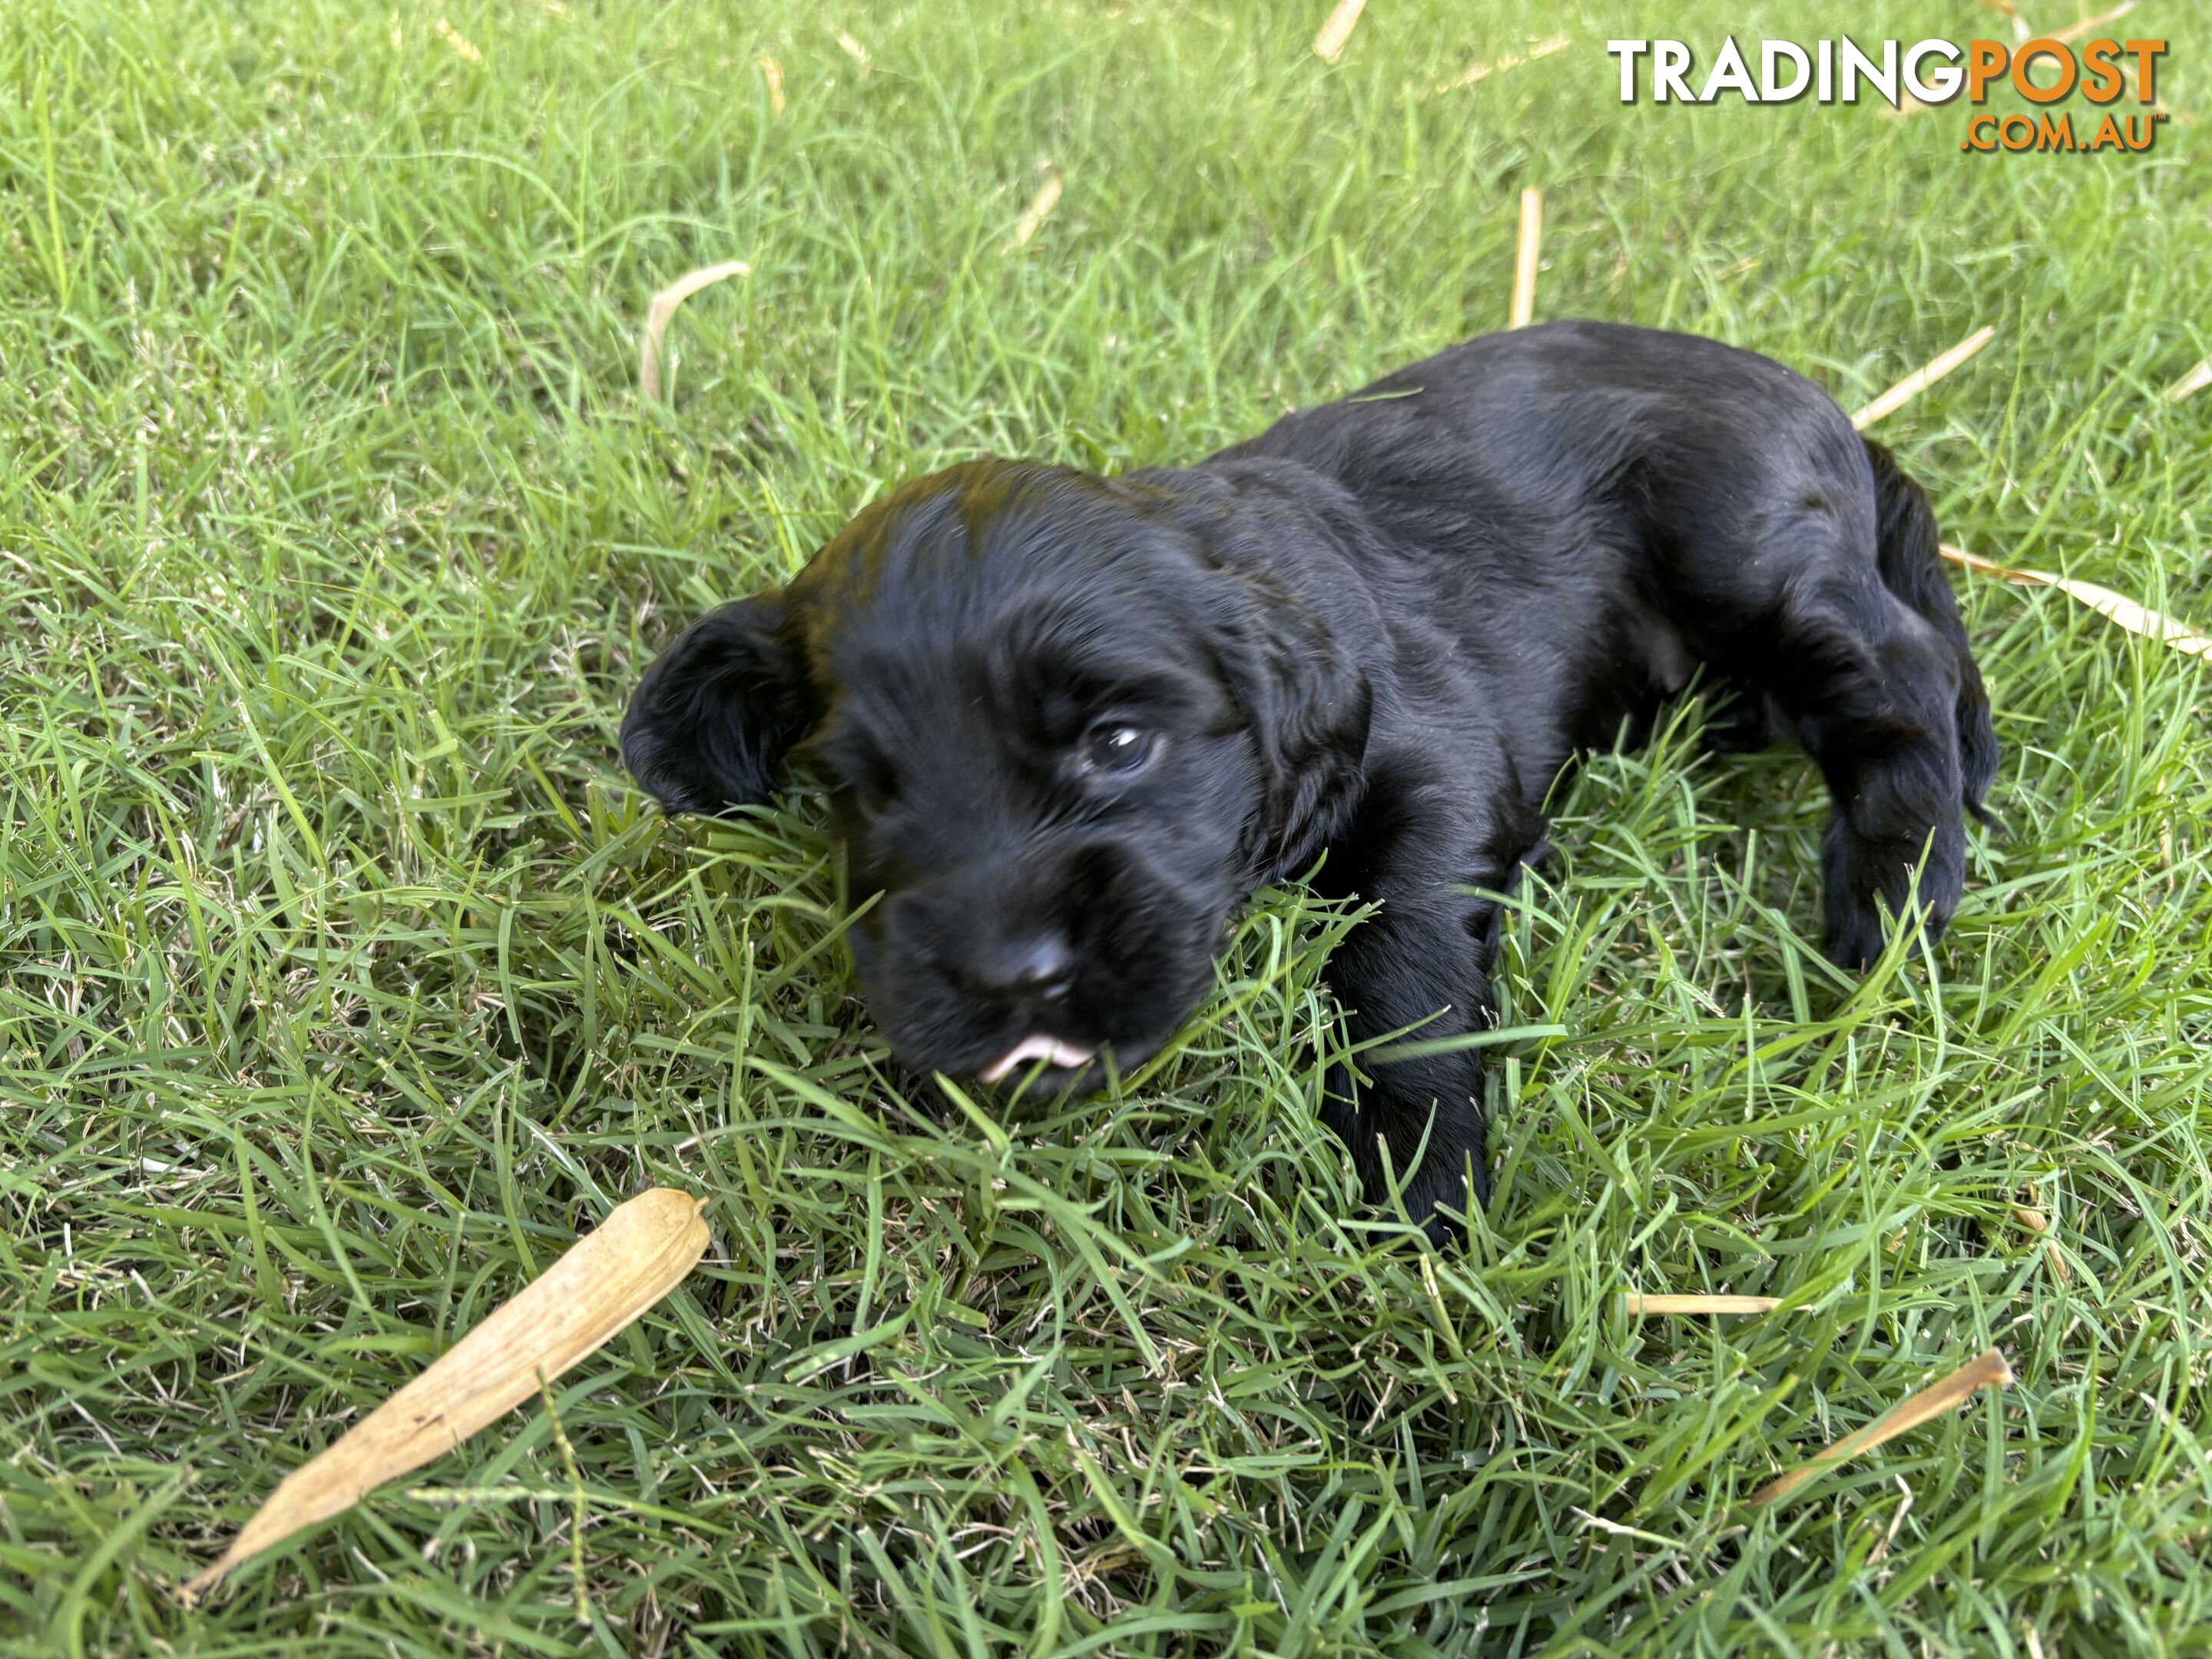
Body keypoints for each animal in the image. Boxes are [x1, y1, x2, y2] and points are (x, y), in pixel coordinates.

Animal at [628, 320, 2008, 1238]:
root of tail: (1834, 414)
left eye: (1118, 744)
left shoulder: (1439, 756)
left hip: (1739, 542)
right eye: (864, 791)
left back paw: (1893, 895)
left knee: (1904, 665)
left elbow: (1401, 958)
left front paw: (1418, 1173)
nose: (1010, 979)